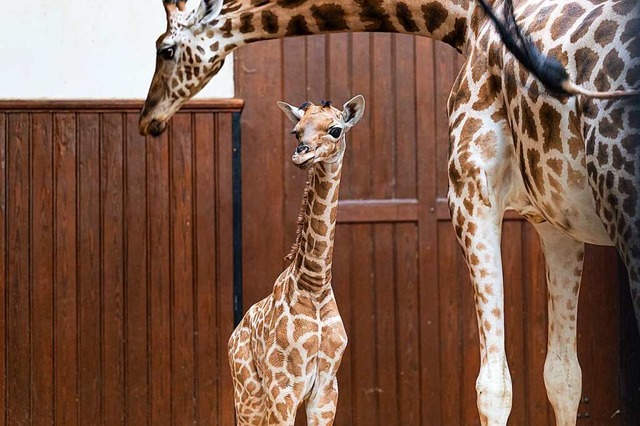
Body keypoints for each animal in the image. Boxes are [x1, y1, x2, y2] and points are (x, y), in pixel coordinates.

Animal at [229, 95, 364, 424]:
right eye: (296, 131)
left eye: (336, 130)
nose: (301, 154)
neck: (314, 284)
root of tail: (234, 335)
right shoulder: (283, 387)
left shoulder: (326, 389)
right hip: (248, 394)